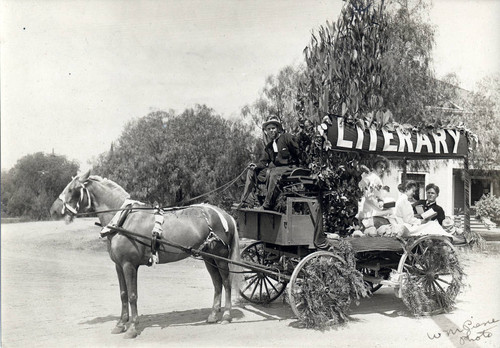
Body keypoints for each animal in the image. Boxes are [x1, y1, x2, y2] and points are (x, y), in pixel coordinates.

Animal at [50, 170, 240, 338]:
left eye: (72, 189)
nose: (54, 210)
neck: (123, 219)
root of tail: (223, 214)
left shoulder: (129, 265)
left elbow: (132, 295)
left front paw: (132, 328)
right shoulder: (119, 266)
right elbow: (123, 294)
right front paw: (120, 324)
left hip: (220, 257)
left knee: (226, 283)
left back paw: (226, 315)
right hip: (209, 258)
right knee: (217, 283)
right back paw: (213, 315)